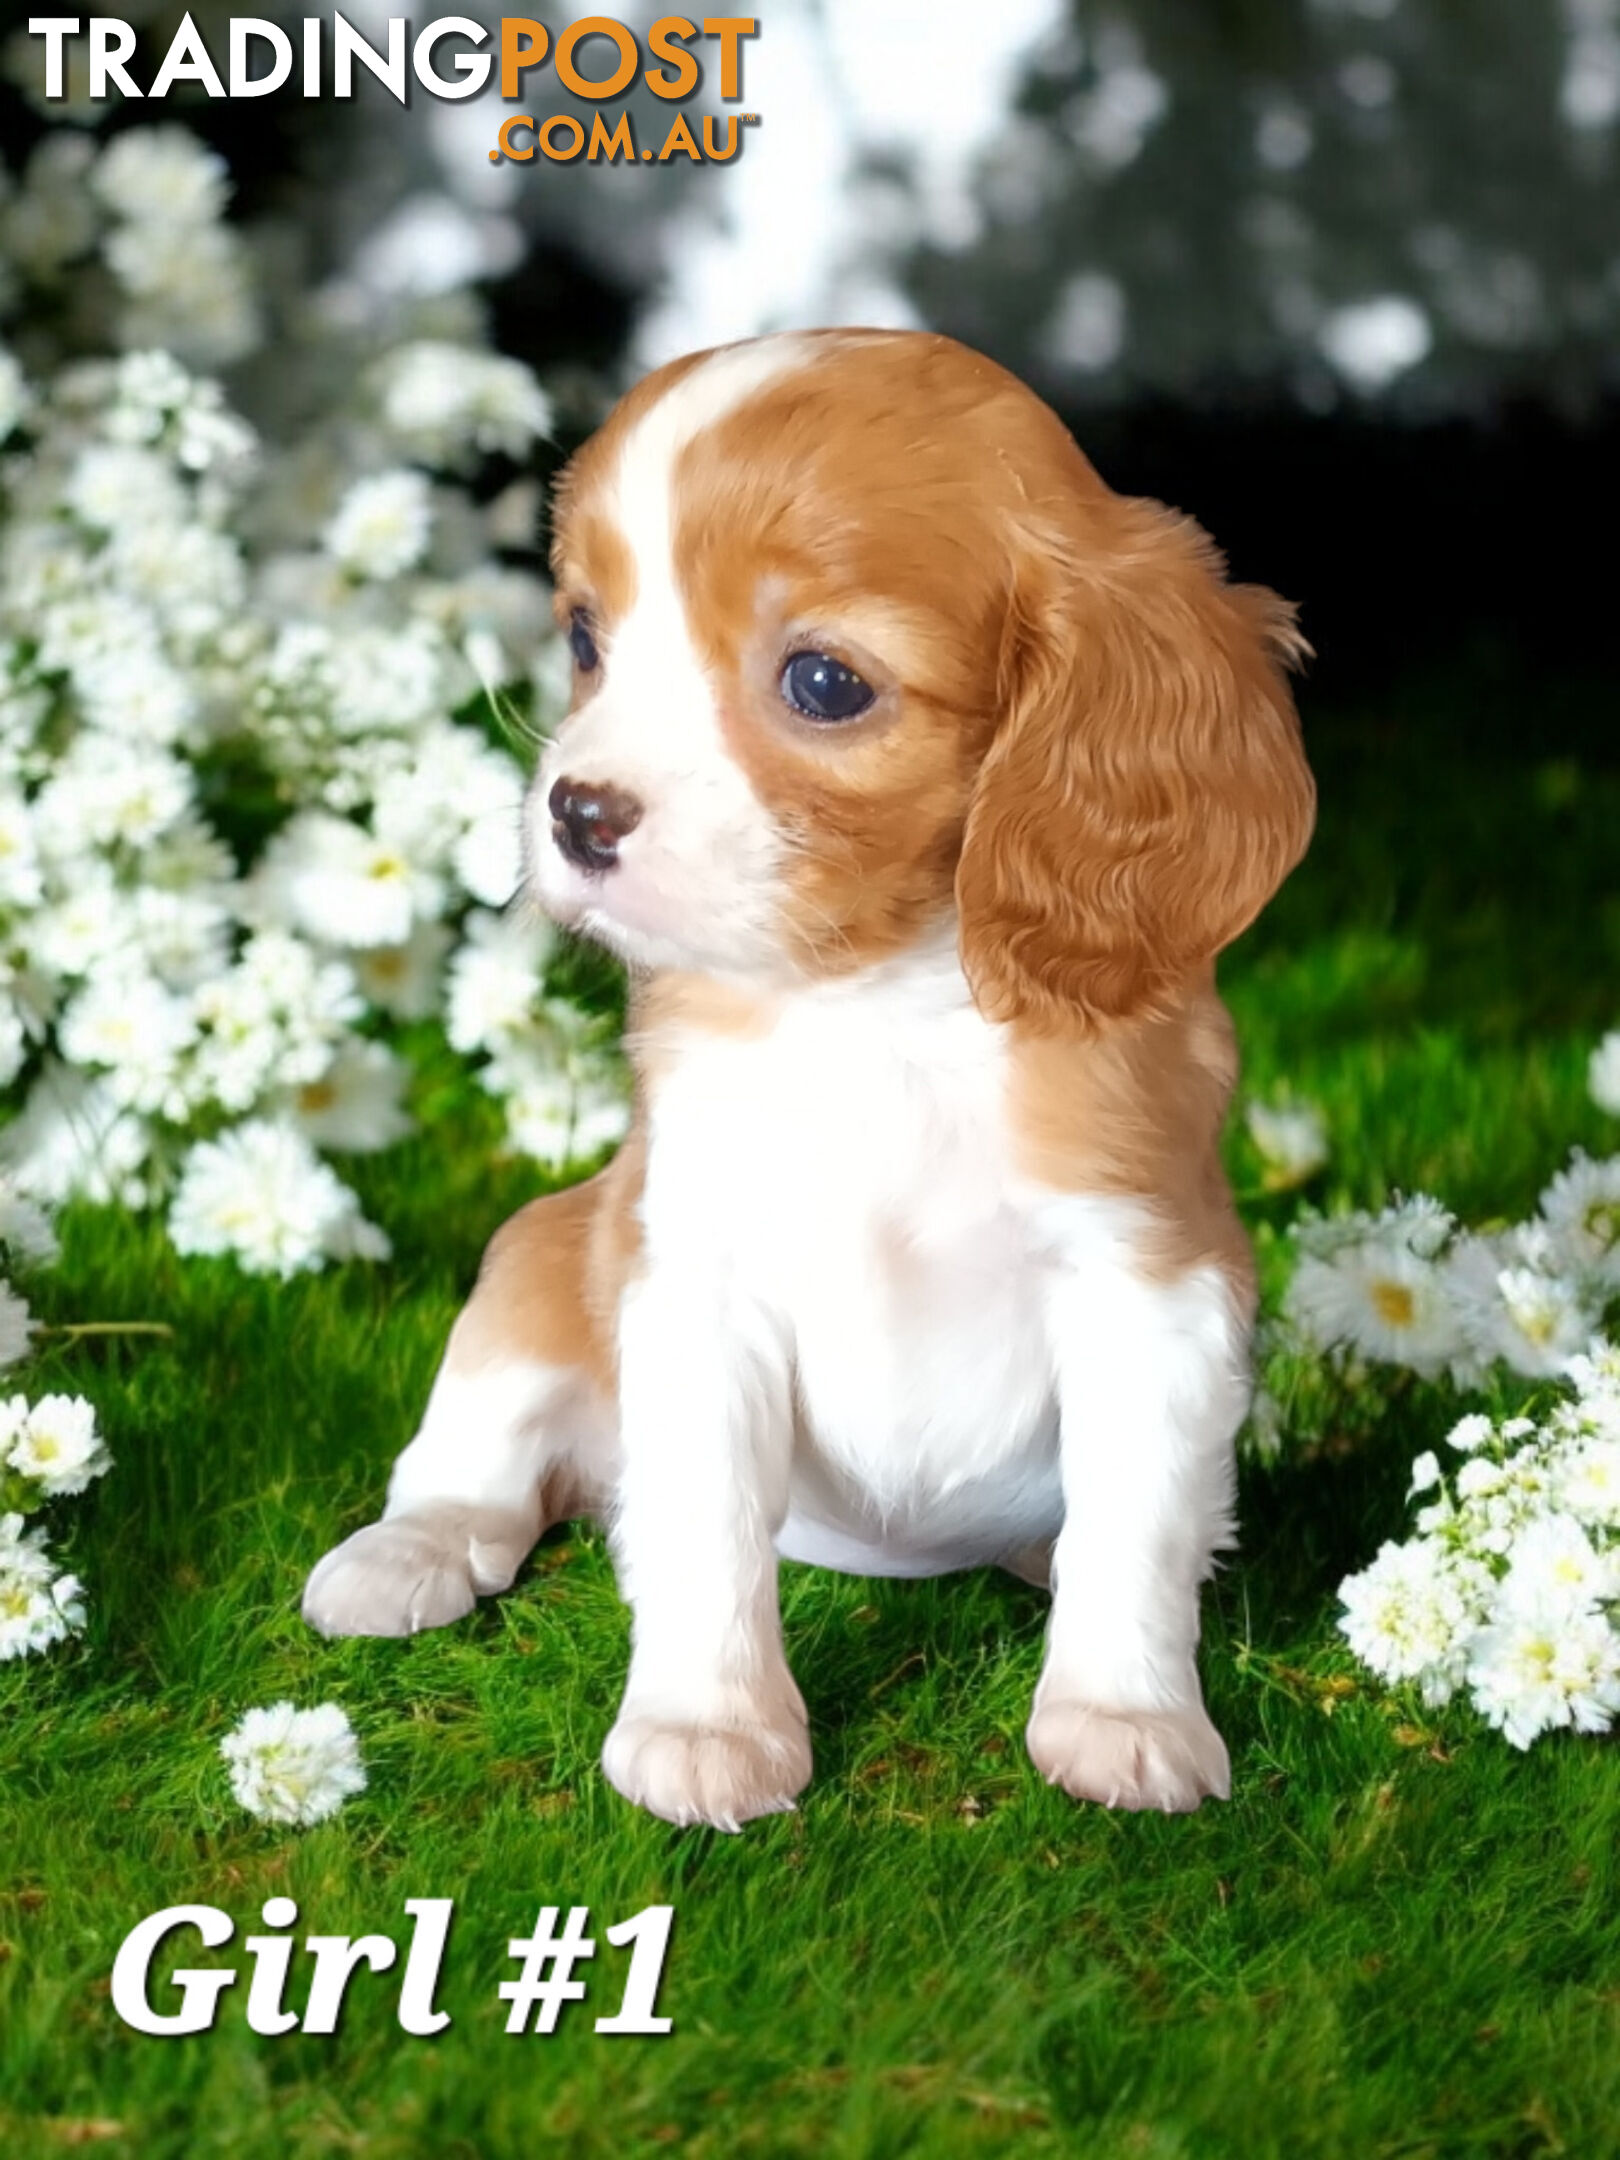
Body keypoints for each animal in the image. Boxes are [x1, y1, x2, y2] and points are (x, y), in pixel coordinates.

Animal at [304, 328, 1321, 1831]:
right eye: (586, 639)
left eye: (825, 683)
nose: (577, 811)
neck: (877, 1007)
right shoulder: (695, 1282)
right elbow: (707, 1524)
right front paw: (706, 1725)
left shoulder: (1151, 1283)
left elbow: (1131, 1525)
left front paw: (1123, 1715)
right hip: (539, 1260)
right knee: (481, 1458)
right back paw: (409, 1550)